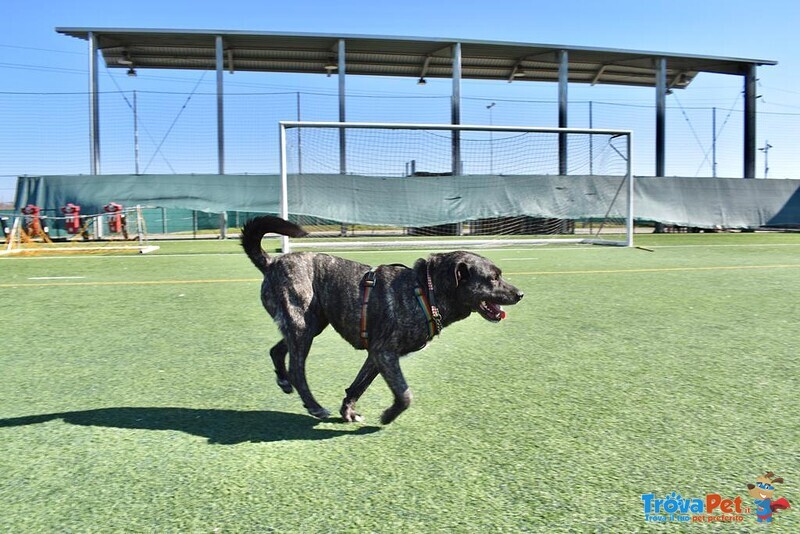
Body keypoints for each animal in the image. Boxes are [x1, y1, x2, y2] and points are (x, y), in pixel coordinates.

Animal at [241, 216, 520, 426]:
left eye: (499, 275)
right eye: (493, 278)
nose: (520, 294)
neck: (425, 290)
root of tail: (271, 262)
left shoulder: (375, 356)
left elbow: (357, 387)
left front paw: (349, 412)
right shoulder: (385, 353)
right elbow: (405, 394)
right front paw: (387, 416)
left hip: (310, 325)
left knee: (277, 350)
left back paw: (283, 381)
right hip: (302, 327)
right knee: (298, 370)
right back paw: (314, 406)